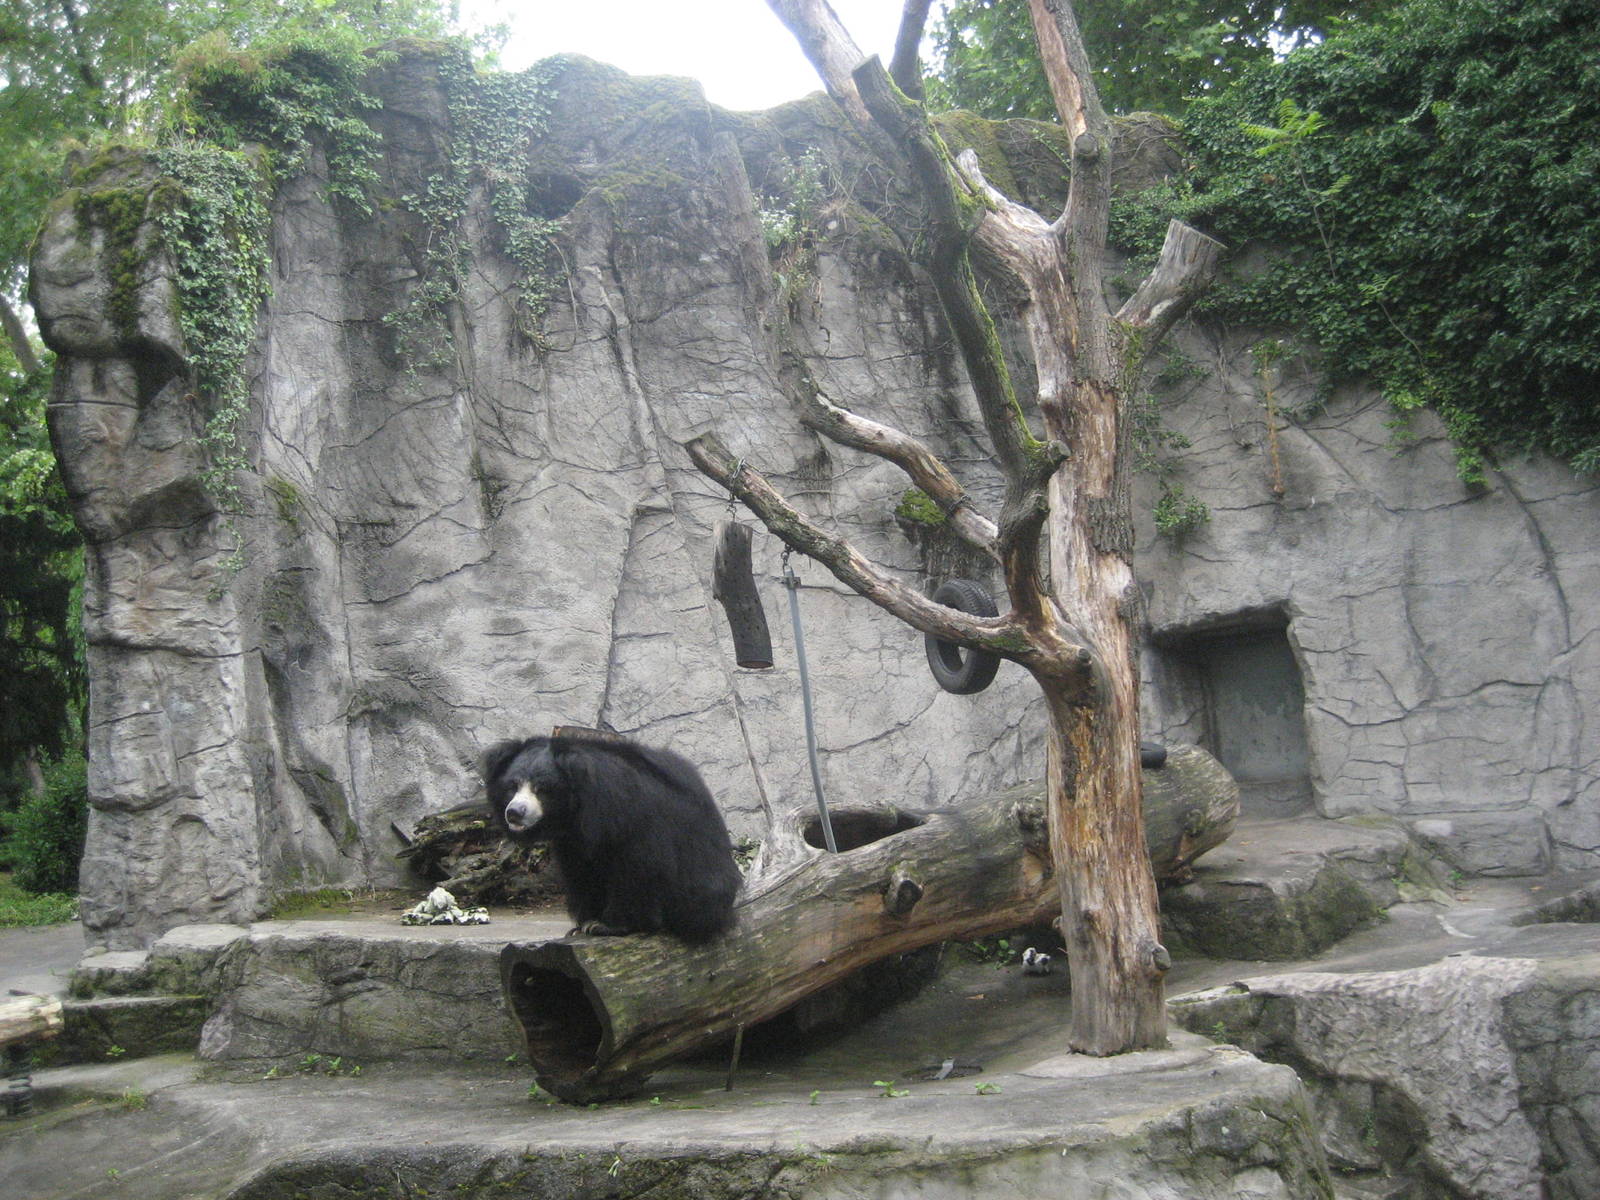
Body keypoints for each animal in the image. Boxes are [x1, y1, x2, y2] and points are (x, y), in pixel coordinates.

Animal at [481, 732, 742, 944]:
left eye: (542, 789)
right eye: (512, 786)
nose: (514, 812)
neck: (576, 810)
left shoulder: (626, 813)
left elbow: (637, 867)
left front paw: (606, 925)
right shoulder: (573, 838)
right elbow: (581, 871)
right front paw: (584, 923)